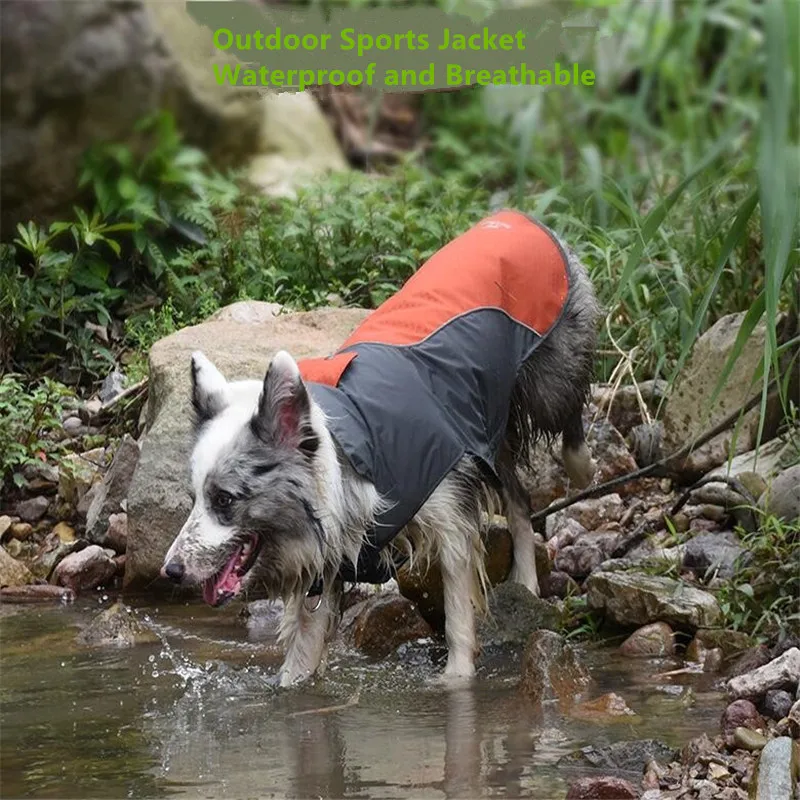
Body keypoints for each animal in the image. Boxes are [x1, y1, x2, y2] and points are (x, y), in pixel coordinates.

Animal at [161, 209, 600, 684]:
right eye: (193, 498)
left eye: (224, 499)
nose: (171, 571)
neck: (352, 457)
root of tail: (513, 217)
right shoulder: (327, 563)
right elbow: (301, 656)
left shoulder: (448, 507)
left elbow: (458, 613)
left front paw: (455, 680)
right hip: (485, 426)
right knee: (519, 499)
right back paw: (525, 581)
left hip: (549, 374)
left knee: (570, 407)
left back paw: (582, 467)